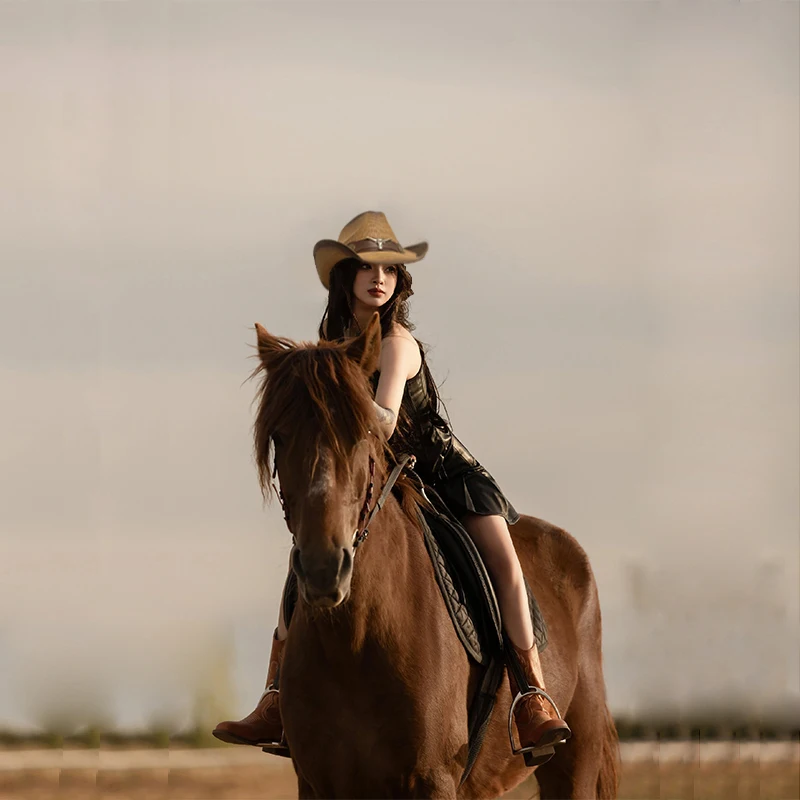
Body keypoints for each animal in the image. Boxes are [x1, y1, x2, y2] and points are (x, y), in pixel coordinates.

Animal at [255, 316, 620, 796]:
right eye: (279, 437)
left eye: (363, 433)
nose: (322, 569)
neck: (354, 642)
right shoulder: (316, 784)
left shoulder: (433, 780)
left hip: (575, 764)